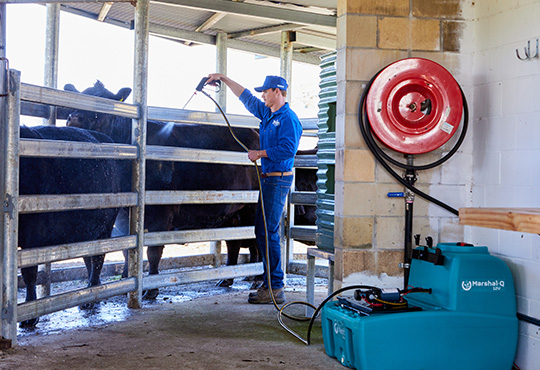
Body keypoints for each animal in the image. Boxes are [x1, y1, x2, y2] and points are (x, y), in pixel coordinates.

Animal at [19, 126, 122, 326]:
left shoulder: (32, 235)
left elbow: (29, 272)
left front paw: (29, 315)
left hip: (105, 227)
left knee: (98, 259)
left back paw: (90, 296)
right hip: (86, 232)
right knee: (89, 258)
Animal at [63, 81, 262, 298]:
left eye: (103, 106)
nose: (74, 117)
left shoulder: (160, 213)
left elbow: (153, 252)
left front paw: (150, 289)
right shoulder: (123, 217)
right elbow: (127, 250)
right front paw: (126, 281)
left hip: (256, 206)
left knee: (260, 242)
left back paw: (259, 279)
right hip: (234, 211)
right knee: (234, 243)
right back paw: (227, 278)